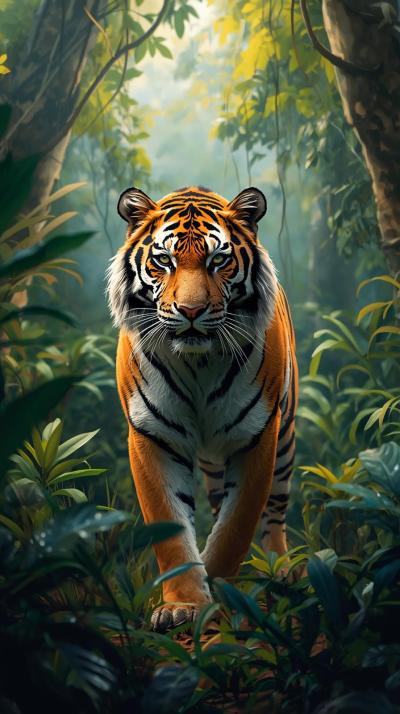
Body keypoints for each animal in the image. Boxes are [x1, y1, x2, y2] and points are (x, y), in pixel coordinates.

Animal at [107, 185, 298, 632]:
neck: (198, 362)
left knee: (275, 511)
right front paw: (184, 603)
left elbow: (235, 526)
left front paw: (218, 593)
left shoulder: (257, 436)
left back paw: (279, 567)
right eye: (164, 260)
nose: (191, 311)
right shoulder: (152, 436)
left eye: (219, 261)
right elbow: (171, 528)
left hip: (284, 441)